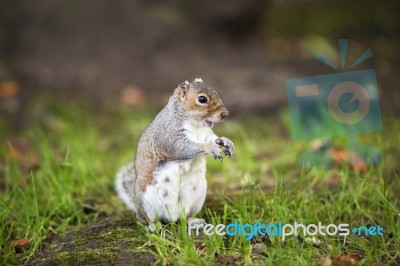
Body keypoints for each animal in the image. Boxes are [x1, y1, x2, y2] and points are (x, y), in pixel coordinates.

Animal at [115, 78, 234, 230]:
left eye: (217, 93)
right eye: (202, 99)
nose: (225, 114)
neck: (195, 124)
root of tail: (173, 217)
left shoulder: (206, 133)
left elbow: (213, 138)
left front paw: (225, 141)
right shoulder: (169, 135)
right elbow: (182, 148)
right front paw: (210, 147)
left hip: (198, 197)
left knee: (187, 215)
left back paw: (193, 221)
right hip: (146, 201)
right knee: (147, 219)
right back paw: (154, 226)